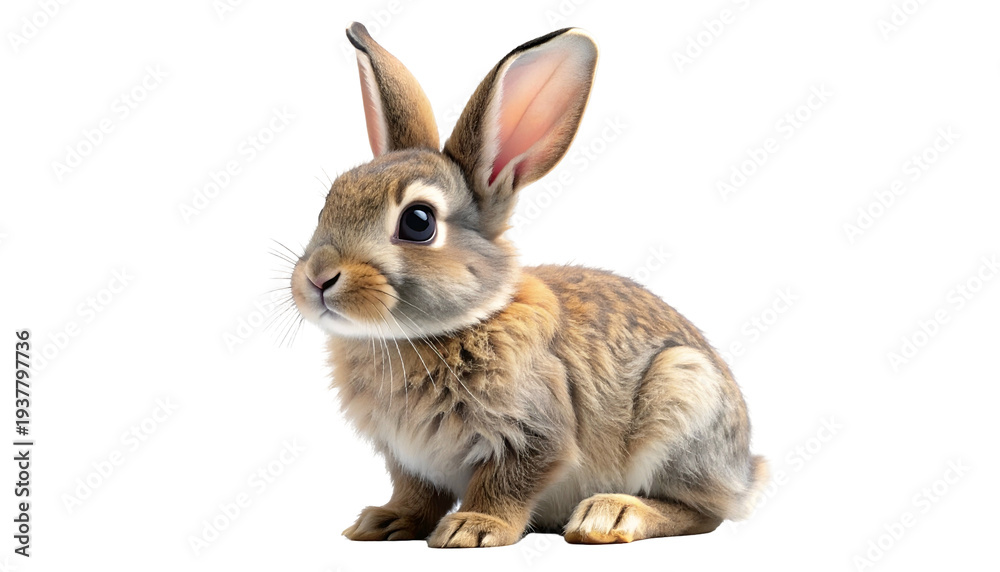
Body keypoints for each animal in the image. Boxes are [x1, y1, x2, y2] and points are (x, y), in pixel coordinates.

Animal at [288, 22, 769, 548]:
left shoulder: (533, 433)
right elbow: (416, 493)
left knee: (702, 512)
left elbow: (508, 483)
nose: (318, 277)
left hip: (683, 395)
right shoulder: (408, 459)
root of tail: (745, 473)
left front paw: (473, 529)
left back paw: (610, 516)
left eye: (418, 222)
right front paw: (384, 522)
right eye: (328, 203)